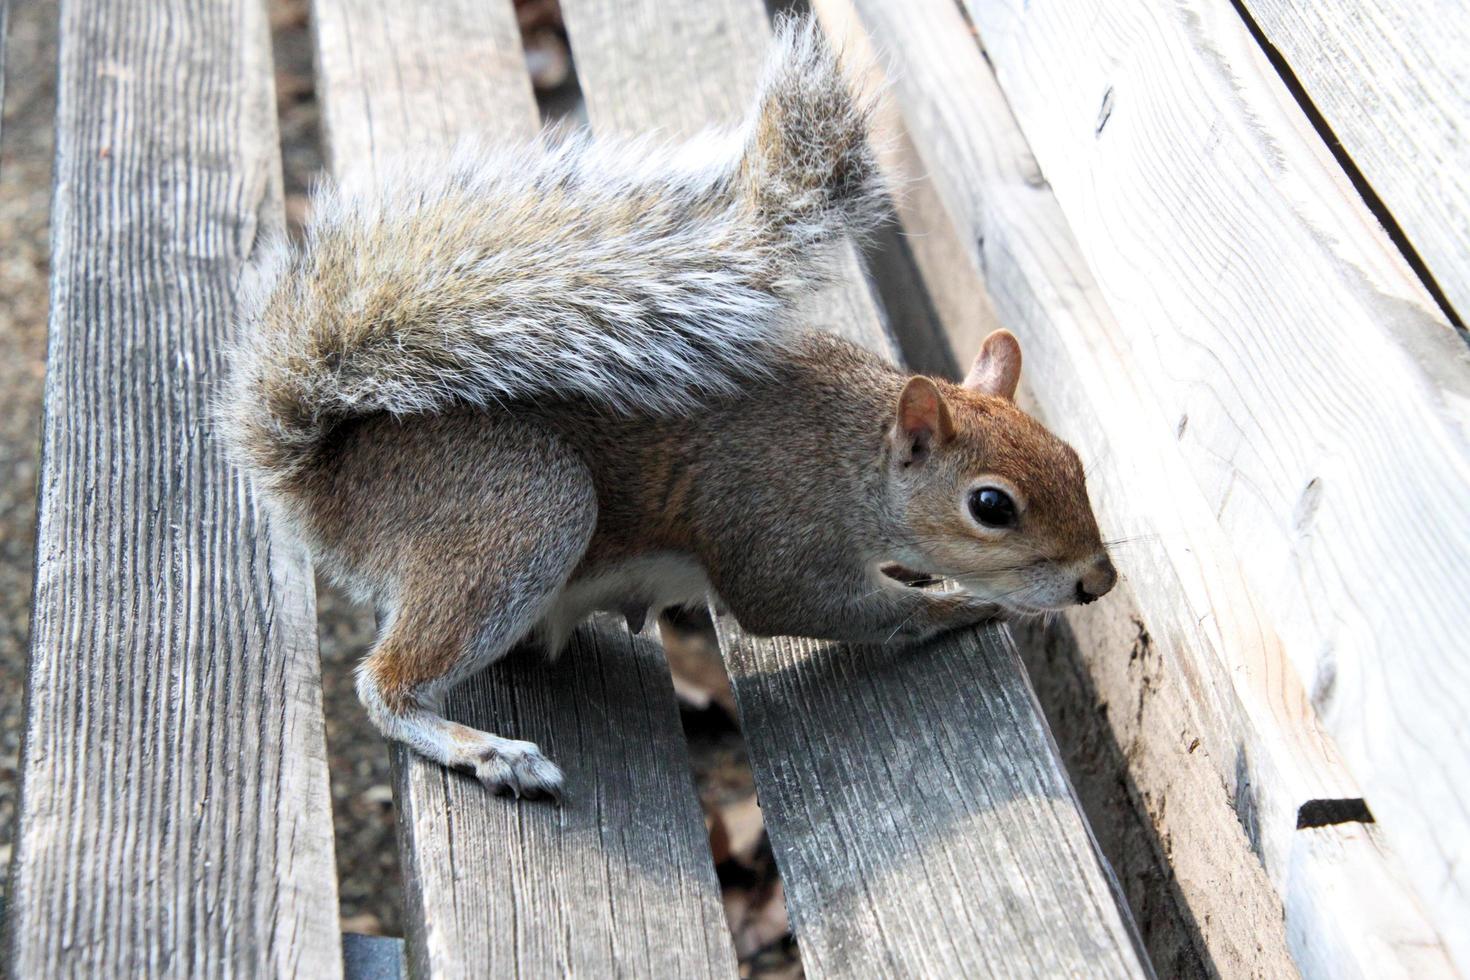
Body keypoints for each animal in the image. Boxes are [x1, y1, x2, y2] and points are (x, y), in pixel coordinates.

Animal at [220, 19, 1111, 799]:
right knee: (388, 683)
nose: (1098, 581)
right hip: (522, 508)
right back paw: (487, 751)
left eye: (1075, 458)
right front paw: (966, 603)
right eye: (991, 506)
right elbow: (810, 607)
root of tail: (331, 486)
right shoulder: (775, 538)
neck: (851, 453)